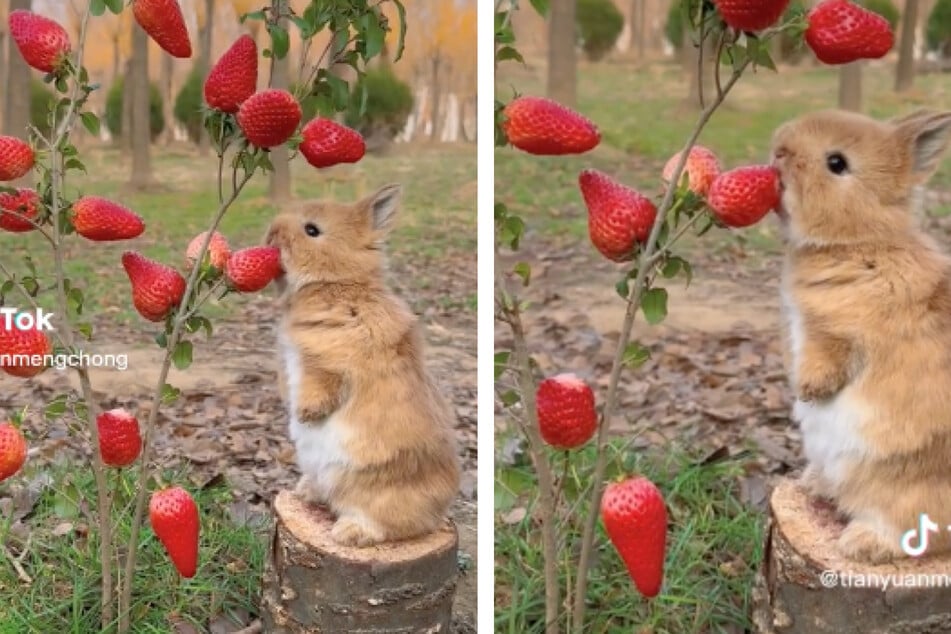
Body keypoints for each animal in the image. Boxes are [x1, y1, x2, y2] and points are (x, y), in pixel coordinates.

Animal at [266, 181, 462, 544]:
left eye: (312, 230)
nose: (271, 234)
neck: (337, 284)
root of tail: (438, 513)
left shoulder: (330, 362)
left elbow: (322, 387)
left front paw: (305, 414)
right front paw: (295, 409)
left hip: (372, 488)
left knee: (388, 524)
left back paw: (348, 532)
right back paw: (305, 491)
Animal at [768, 108, 951, 564]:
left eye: (837, 163)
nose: (779, 151)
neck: (860, 241)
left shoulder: (838, 334)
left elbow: (826, 363)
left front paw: (807, 391)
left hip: (906, 488)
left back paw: (860, 542)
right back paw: (814, 483)